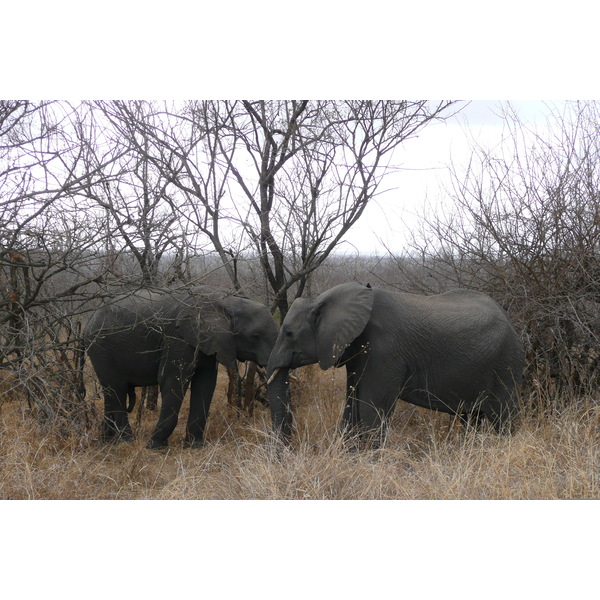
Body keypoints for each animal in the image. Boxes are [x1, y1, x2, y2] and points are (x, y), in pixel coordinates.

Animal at [83, 288, 278, 450]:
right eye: (255, 336)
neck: (224, 300)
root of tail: (90, 319)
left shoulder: (208, 342)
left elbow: (205, 384)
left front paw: (196, 447)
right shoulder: (178, 339)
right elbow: (173, 382)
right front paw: (155, 447)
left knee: (110, 392)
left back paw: (109, 441)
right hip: (101, 347)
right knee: (116, 388)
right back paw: (126, 442)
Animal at [268, 282, 524, 446]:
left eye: (289, 333)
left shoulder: (384, 352)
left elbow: (371, 411)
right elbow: (352, 406)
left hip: (505, 366)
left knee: (503, 418)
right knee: (471, 418)